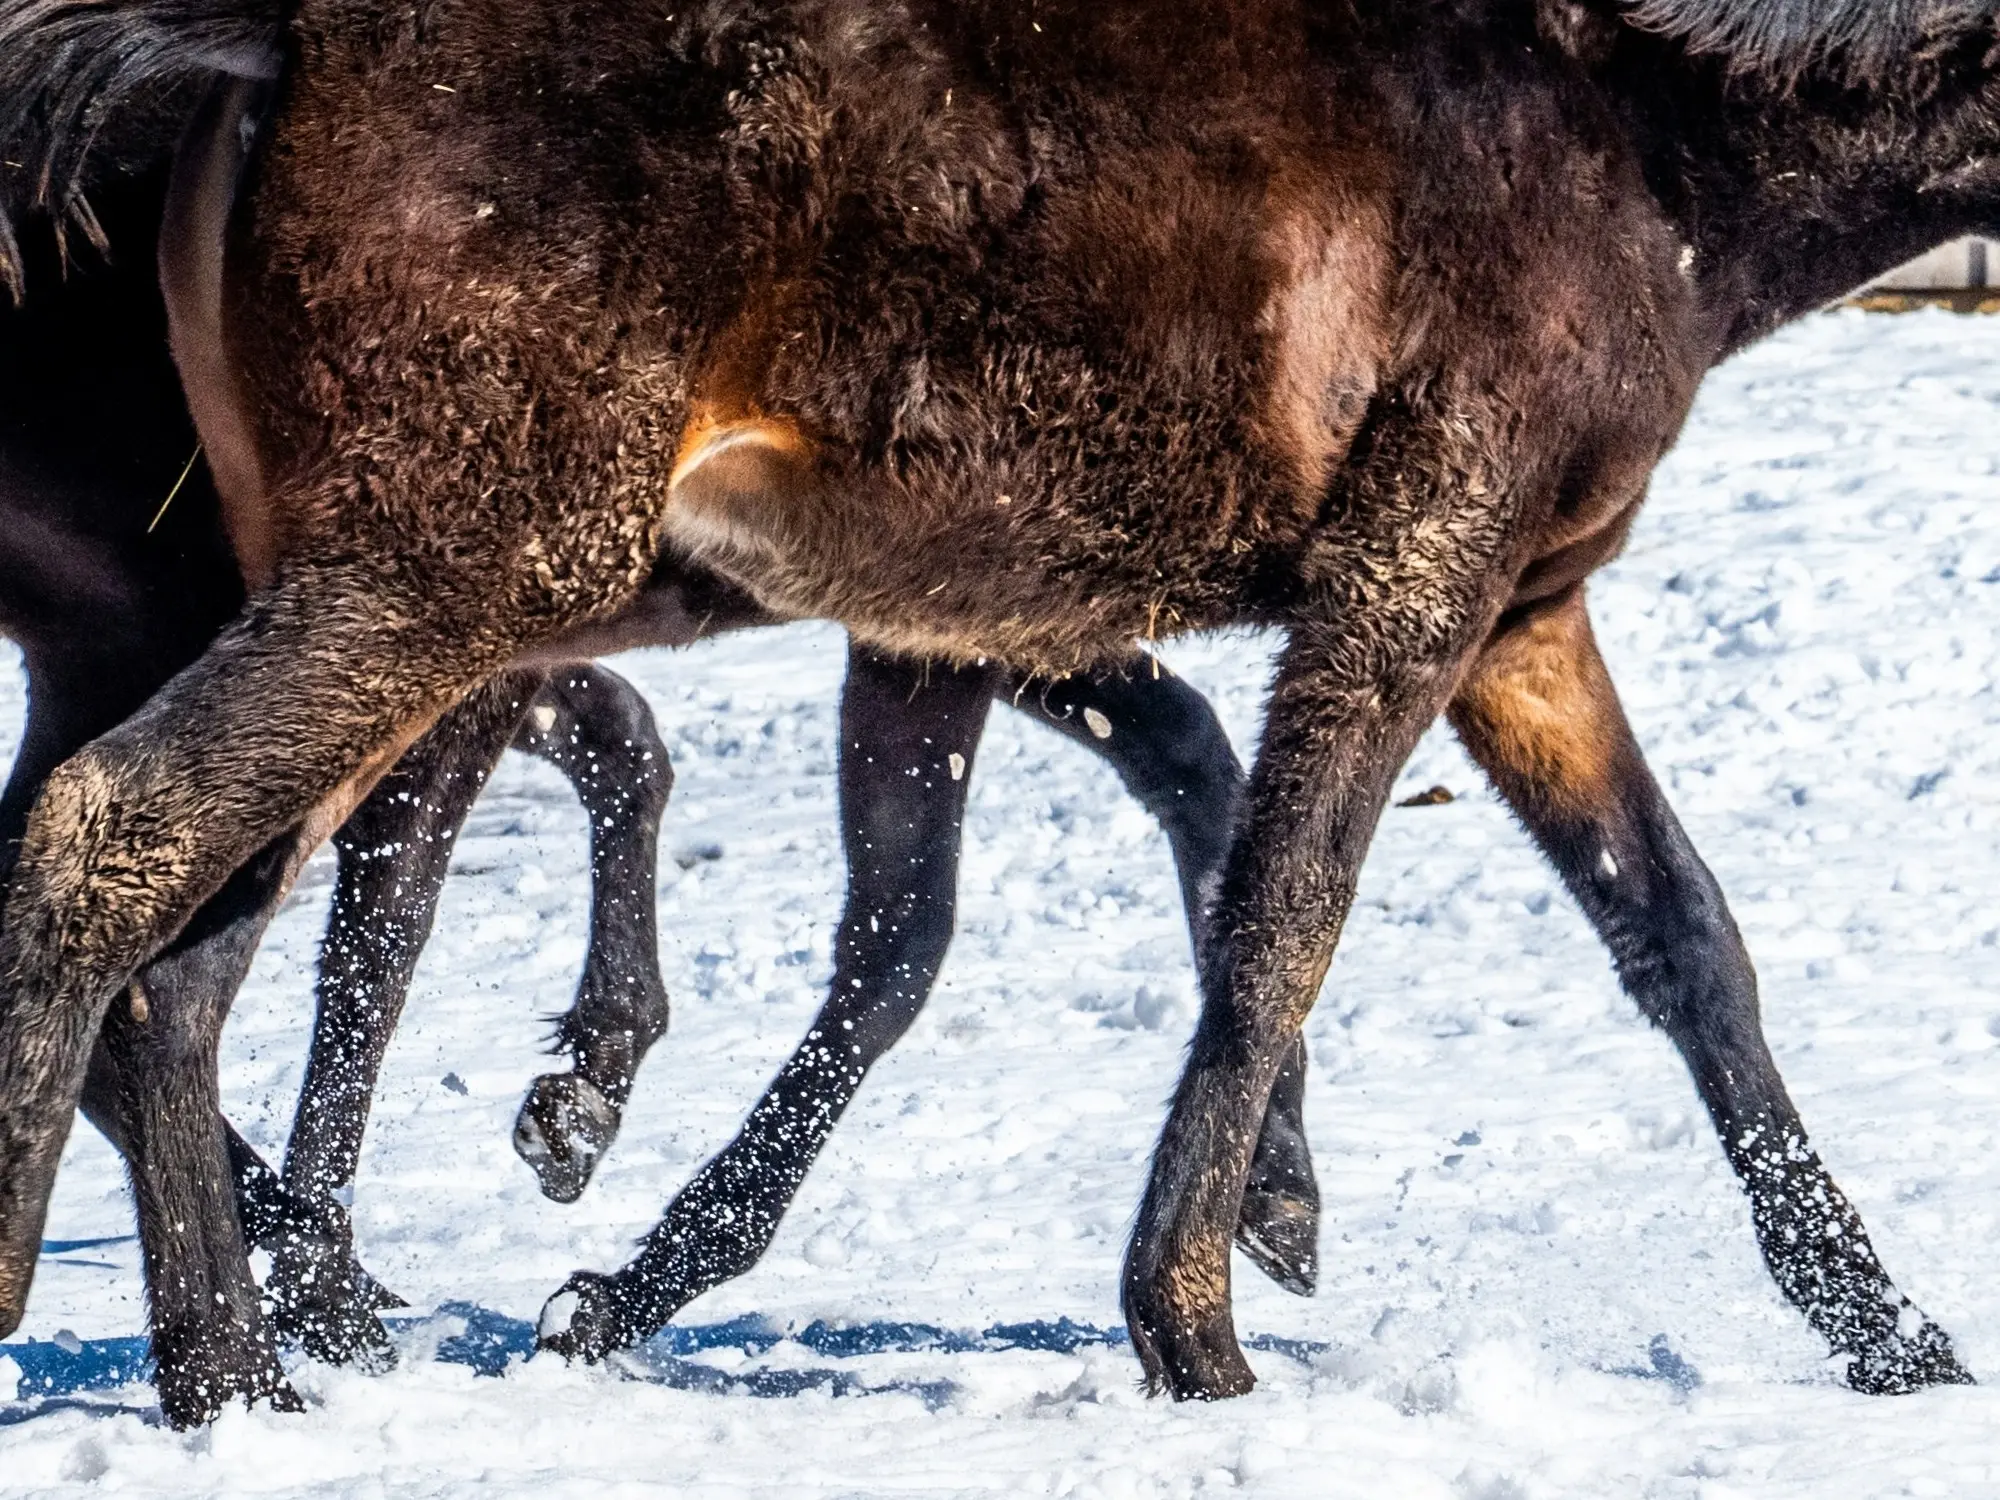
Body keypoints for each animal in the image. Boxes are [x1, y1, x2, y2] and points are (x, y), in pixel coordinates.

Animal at [0, 0, 1992, 1424]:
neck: (1644, 145)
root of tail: (269, 53)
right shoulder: (1404, 583)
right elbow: (1279, 913)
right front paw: (1192, 1319)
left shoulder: (1516, 621)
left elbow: (1683, 940)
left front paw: (1887, 1331)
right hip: (446, 579)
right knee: (120, 845)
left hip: (363, 607)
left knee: (188, 964)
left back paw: (245, 1378)